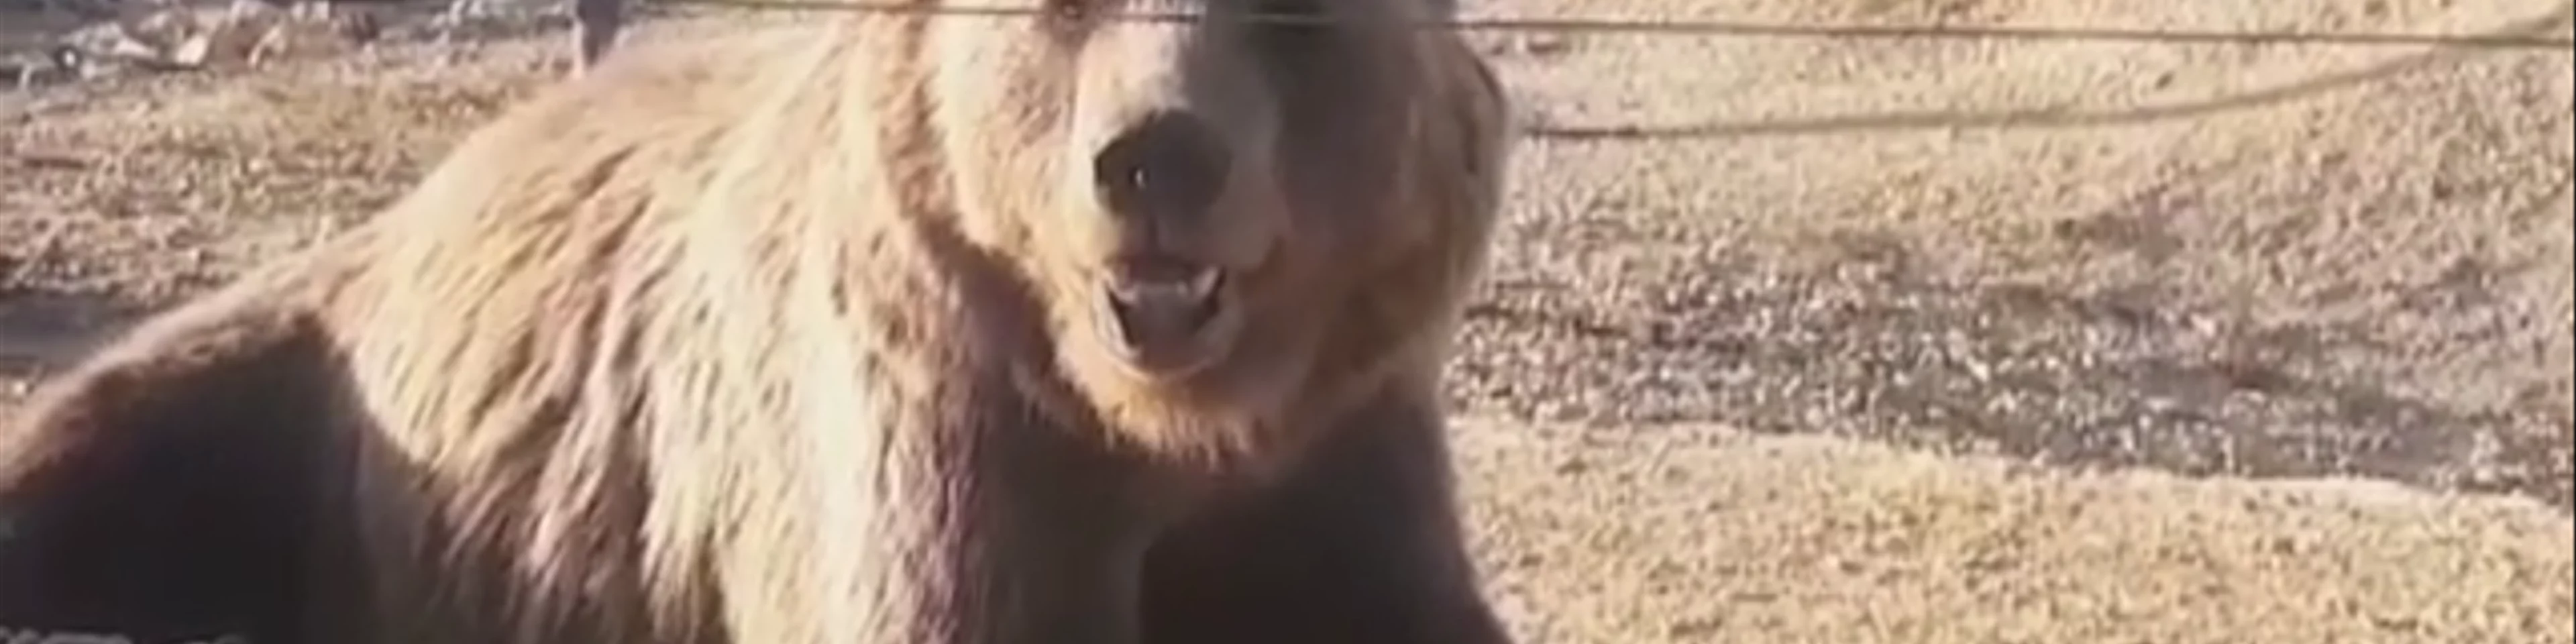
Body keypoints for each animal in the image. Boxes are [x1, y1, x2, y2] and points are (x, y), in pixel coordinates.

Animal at [0, 0, 1520, 641]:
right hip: (319, 396)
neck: (1161, 428)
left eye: (1292, 14)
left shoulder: (1338, 440)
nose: (1155, 157)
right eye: (1059, 8)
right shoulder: (949, 429)